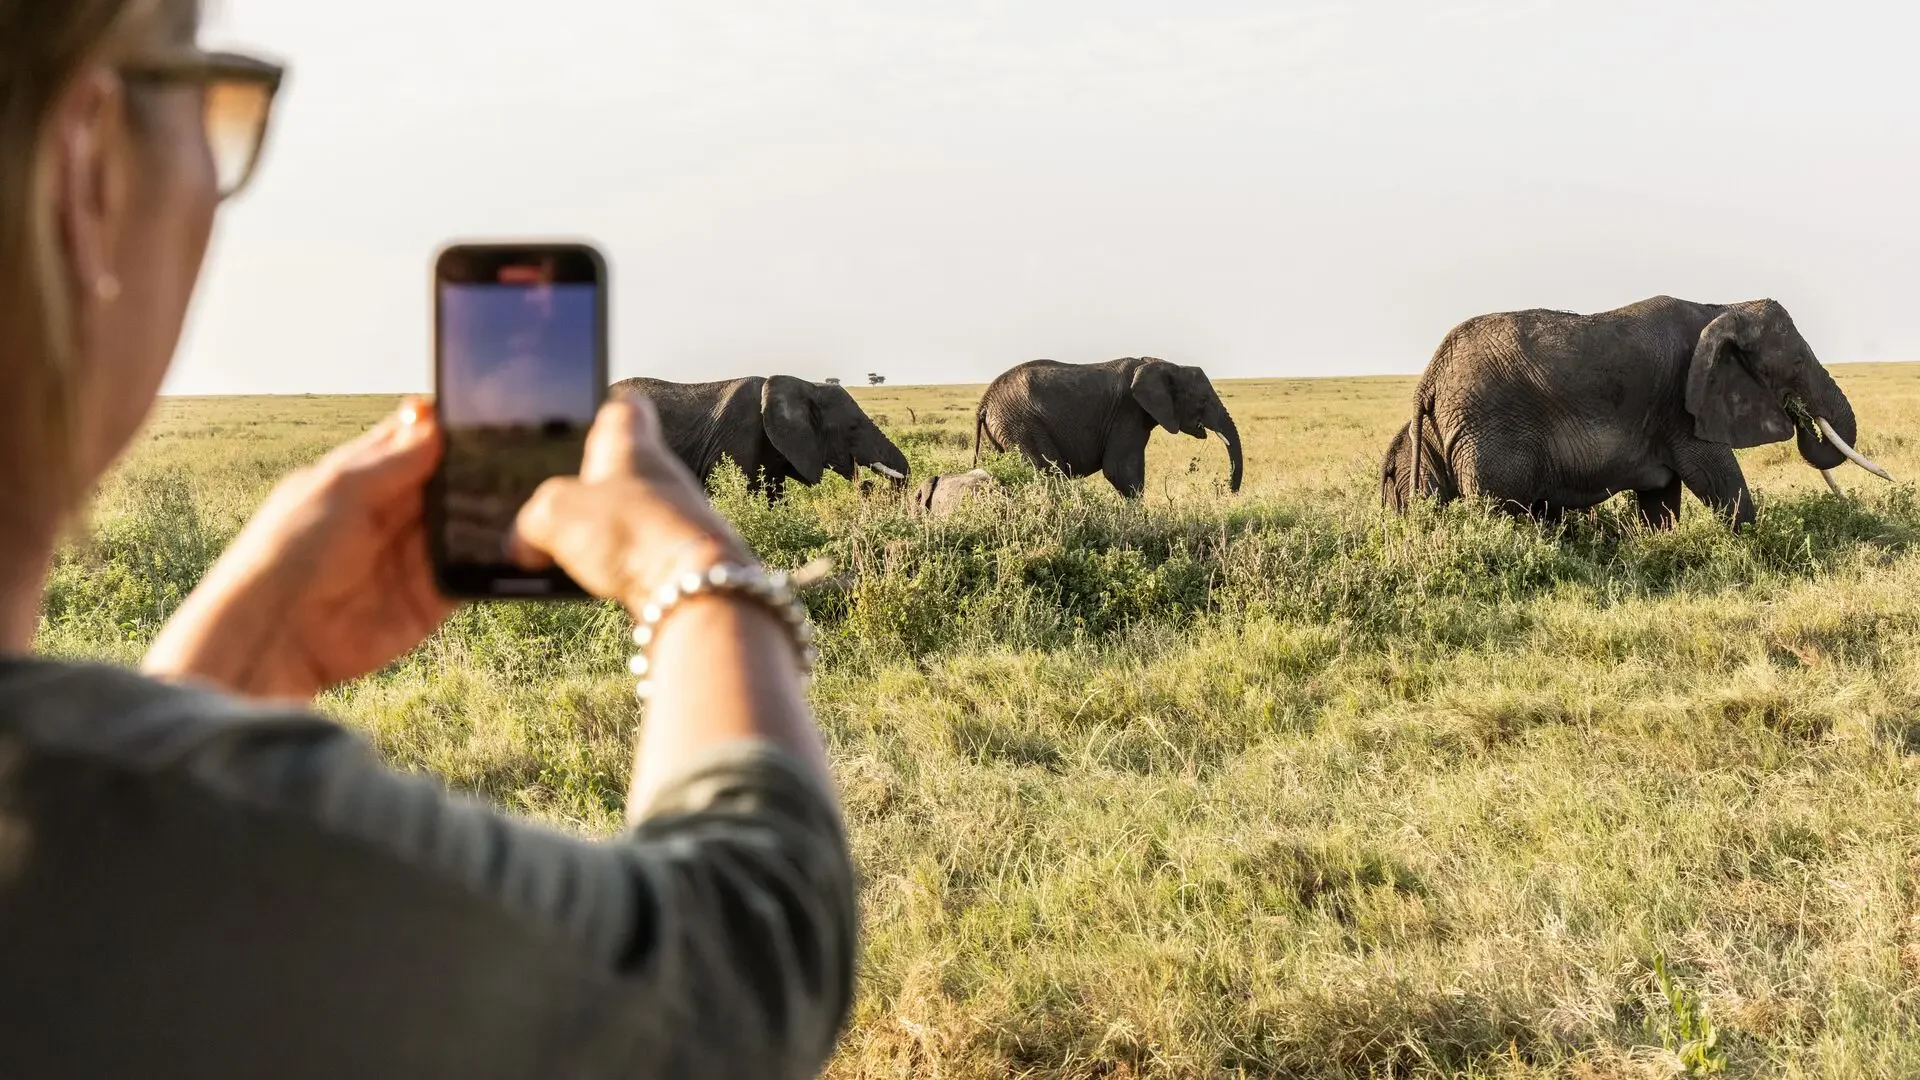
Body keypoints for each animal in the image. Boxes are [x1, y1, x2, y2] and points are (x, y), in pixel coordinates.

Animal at [973, 357, 1243, 497]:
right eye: (1203, 401)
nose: (1228, 493)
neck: (1160, 363)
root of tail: (984, 403)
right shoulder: (1128, 411)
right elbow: (1120, 471)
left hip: (999, 429)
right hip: (1021, 424)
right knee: (1048, 472)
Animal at [1381, 296, 1892, 528]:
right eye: (1798, 364)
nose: (1804, 415)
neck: (1721, 307)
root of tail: (1429, 378)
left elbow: (1661, 498)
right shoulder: (1684, 409)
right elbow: (1717, 478)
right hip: (1488, 433)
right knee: (1502, 510)